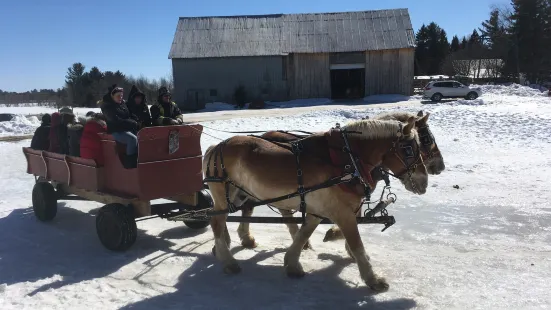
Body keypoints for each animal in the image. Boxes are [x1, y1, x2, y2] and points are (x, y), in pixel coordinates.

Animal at [205, 115, 430, 290]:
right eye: (408, 150)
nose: (424, 182)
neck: (345, 159)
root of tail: (216, 147)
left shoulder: (318, 210)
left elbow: (304, 233)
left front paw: (292, 264)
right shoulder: (343, 213)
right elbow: (357, 244)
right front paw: (373, 278)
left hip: (239, 195)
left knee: (227, 217)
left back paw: (226, 247)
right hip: (225, 196)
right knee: (217, 222)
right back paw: (228, 261)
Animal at [235, 111, 446, 252]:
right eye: (425, 139)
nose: (440, 167)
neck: (353, 154)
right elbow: (354, 219)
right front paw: (338, 238)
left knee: (254, 206)